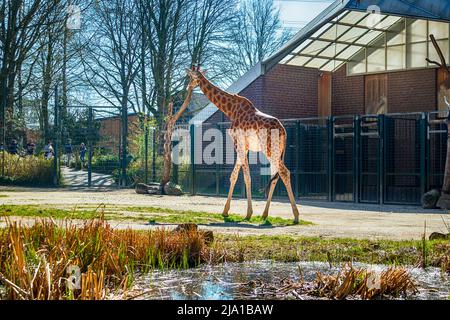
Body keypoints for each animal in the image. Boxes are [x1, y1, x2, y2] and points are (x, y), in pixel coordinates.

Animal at [186, 67, 298, 222]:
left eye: (191, 77)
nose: (187, 87)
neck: (231, 109)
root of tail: (283, 131)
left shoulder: (238, 143)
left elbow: (245, 177)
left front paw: (248, 213)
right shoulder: (243, 147)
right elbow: (234, 175)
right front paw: (226, 211)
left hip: (269, 149)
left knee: (284, 172)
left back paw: (296, 216)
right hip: (276, 151)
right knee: (275, 175)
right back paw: (264, 214)